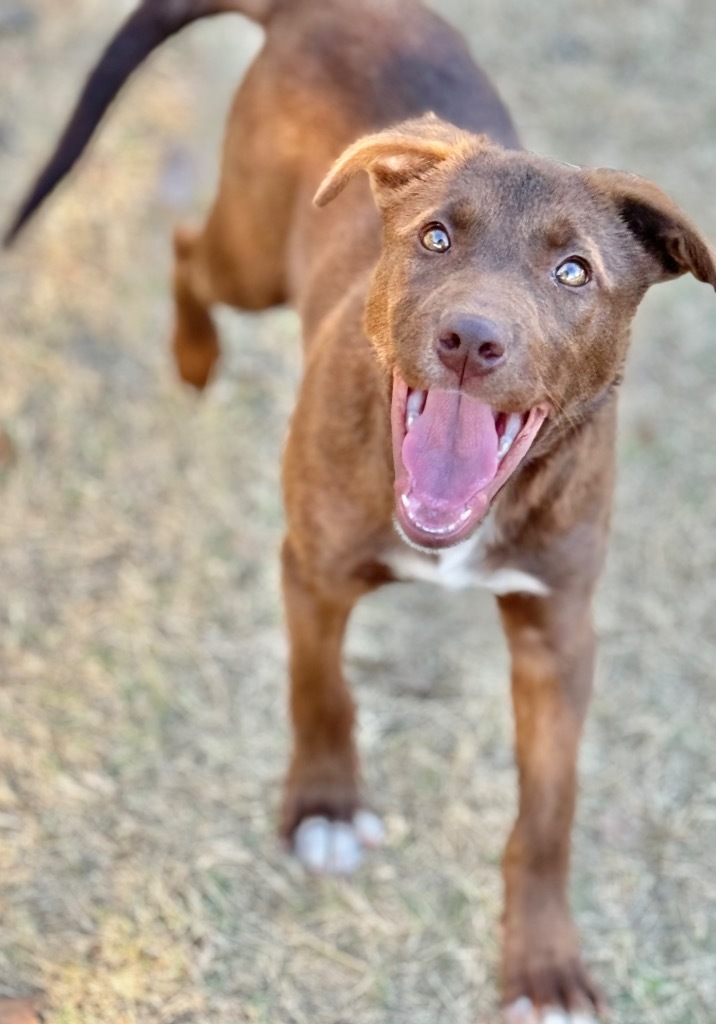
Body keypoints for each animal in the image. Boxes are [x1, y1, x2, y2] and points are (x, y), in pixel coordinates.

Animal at [7, 0, 716, 1019]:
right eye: (435, 238)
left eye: (576, 272)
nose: (470, 339)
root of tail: (323, 8)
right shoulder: (311, 566)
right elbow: (321, 689)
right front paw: (325, 809)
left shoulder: (558, 631)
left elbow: (549, 808)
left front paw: (544, 960)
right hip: (255, 251)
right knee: (189, 250)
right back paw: (193, 358)